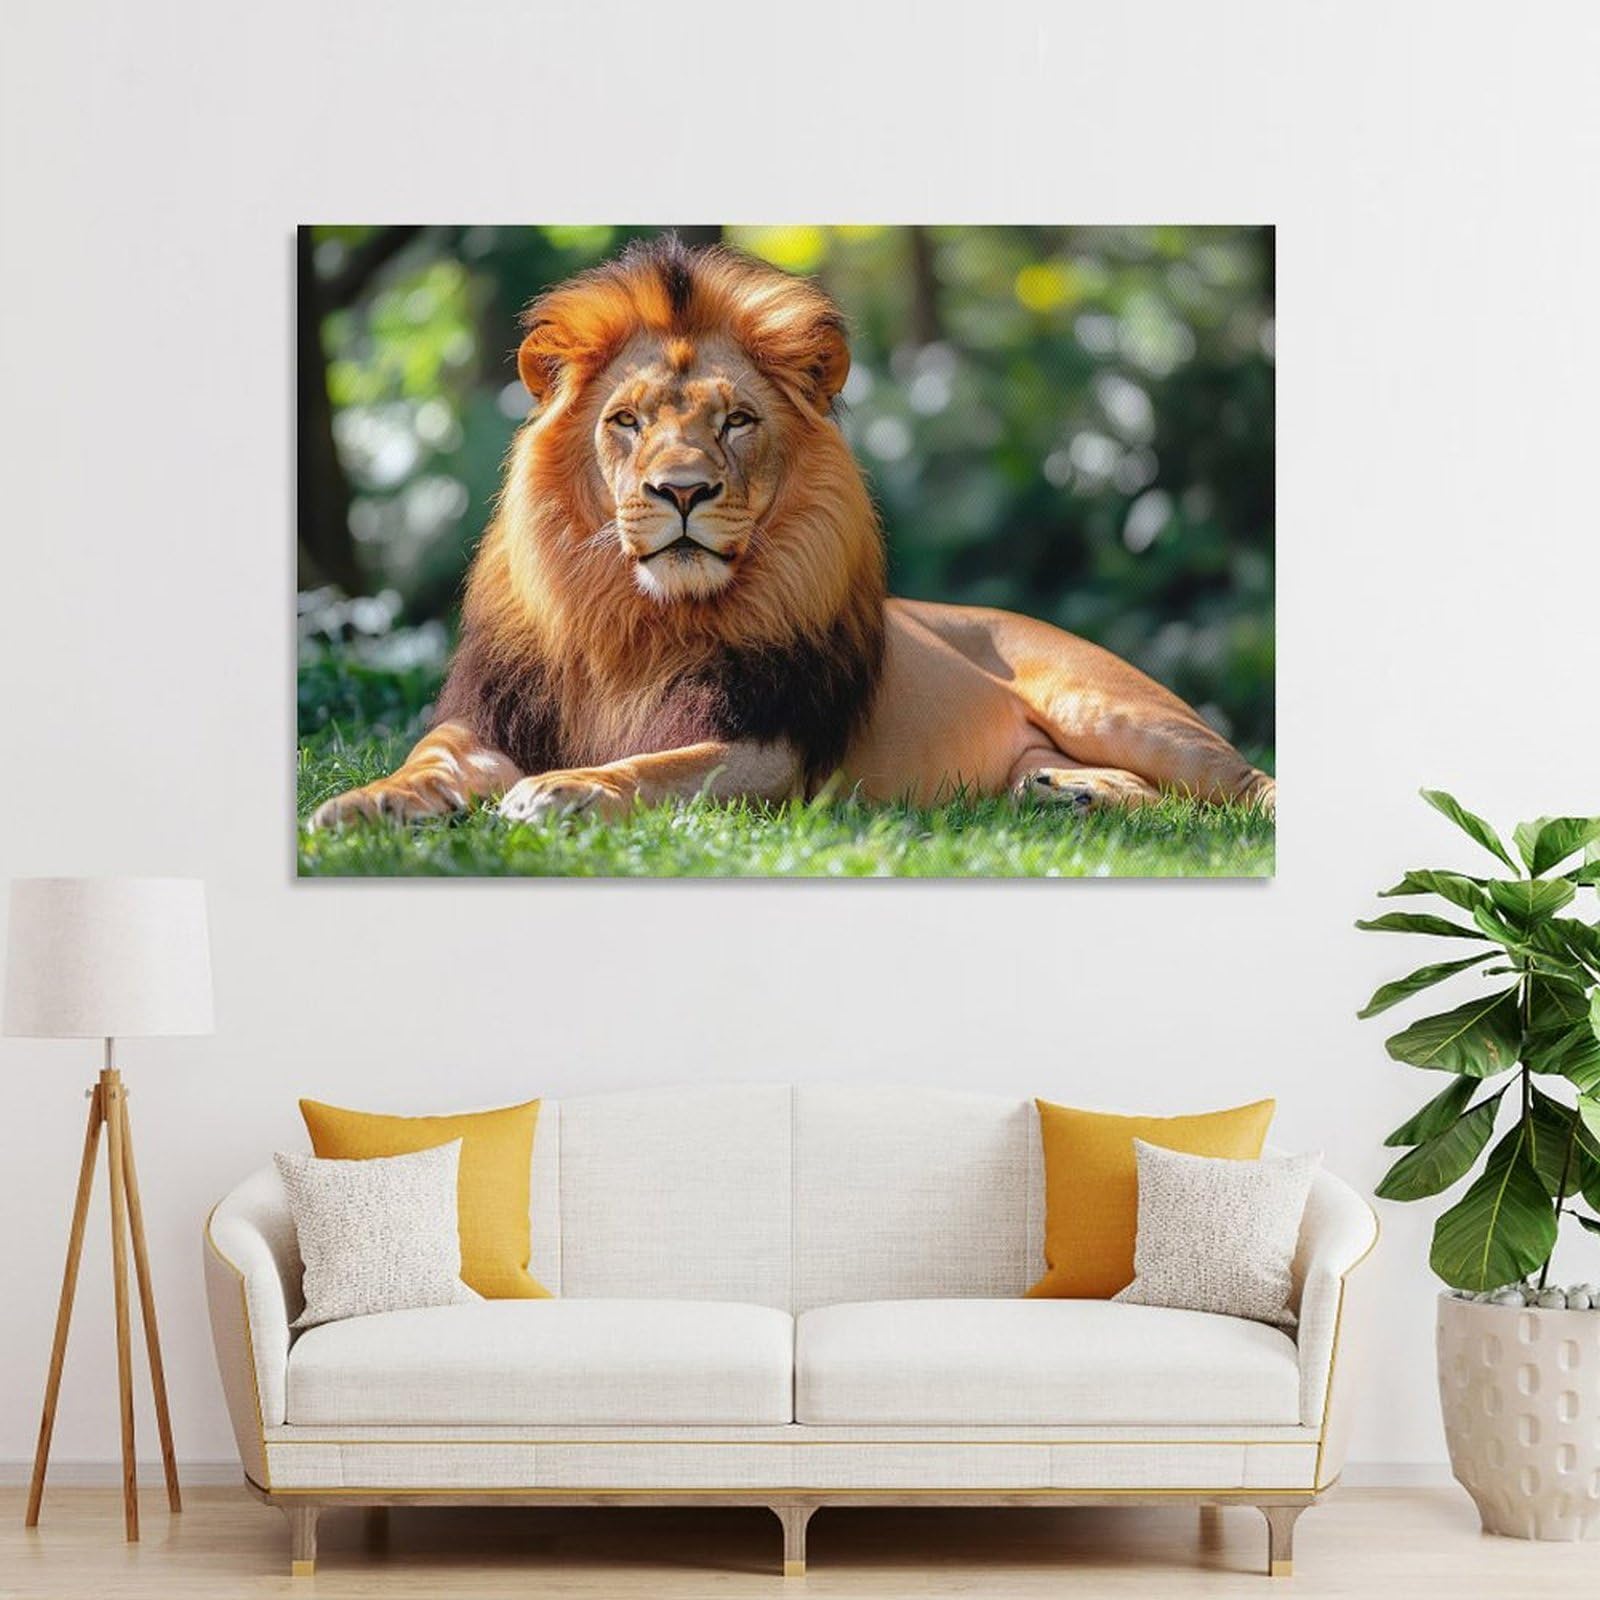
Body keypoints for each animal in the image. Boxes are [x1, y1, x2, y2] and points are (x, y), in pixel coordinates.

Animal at [311, 237, 1274, 831]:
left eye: (736, 421)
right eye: (626, 421)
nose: (682, 491)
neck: (633, 620)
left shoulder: (769, 749)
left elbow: (656, 766)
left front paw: (565, 789)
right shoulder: (487, 722)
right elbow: (424, 761)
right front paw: (358, 806)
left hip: (1109, 705)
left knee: (1244, 791)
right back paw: (1064, 792)